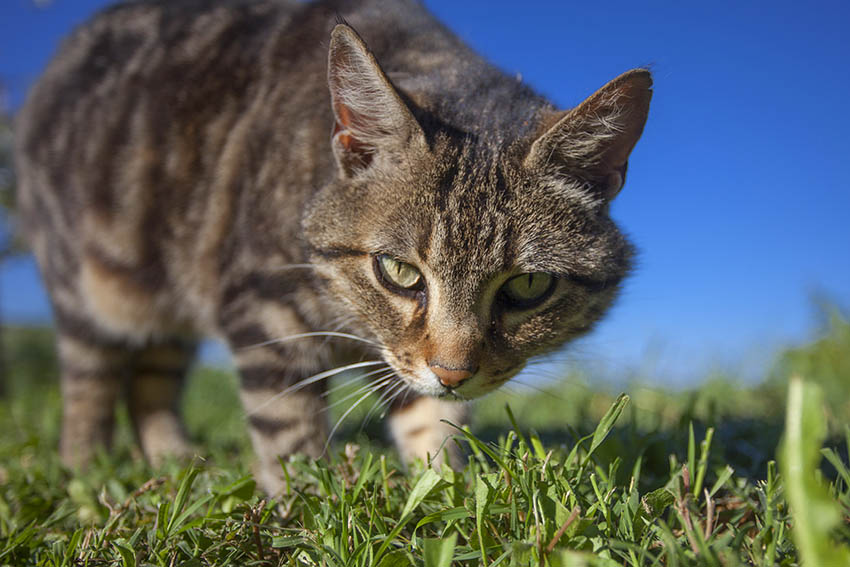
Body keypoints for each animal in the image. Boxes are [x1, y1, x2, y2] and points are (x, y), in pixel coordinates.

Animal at [11, 0, 648, 494]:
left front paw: (445, 493)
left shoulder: (401, 365)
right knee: (90, 382)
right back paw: (85, 468)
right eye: (398, 271)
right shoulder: (266, 310)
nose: (452, 372)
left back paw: (175, 459)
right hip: (91, 288)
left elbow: (431, 425)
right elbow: (287, 430)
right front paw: (301, 508)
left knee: (152, 378)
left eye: (527, 286)